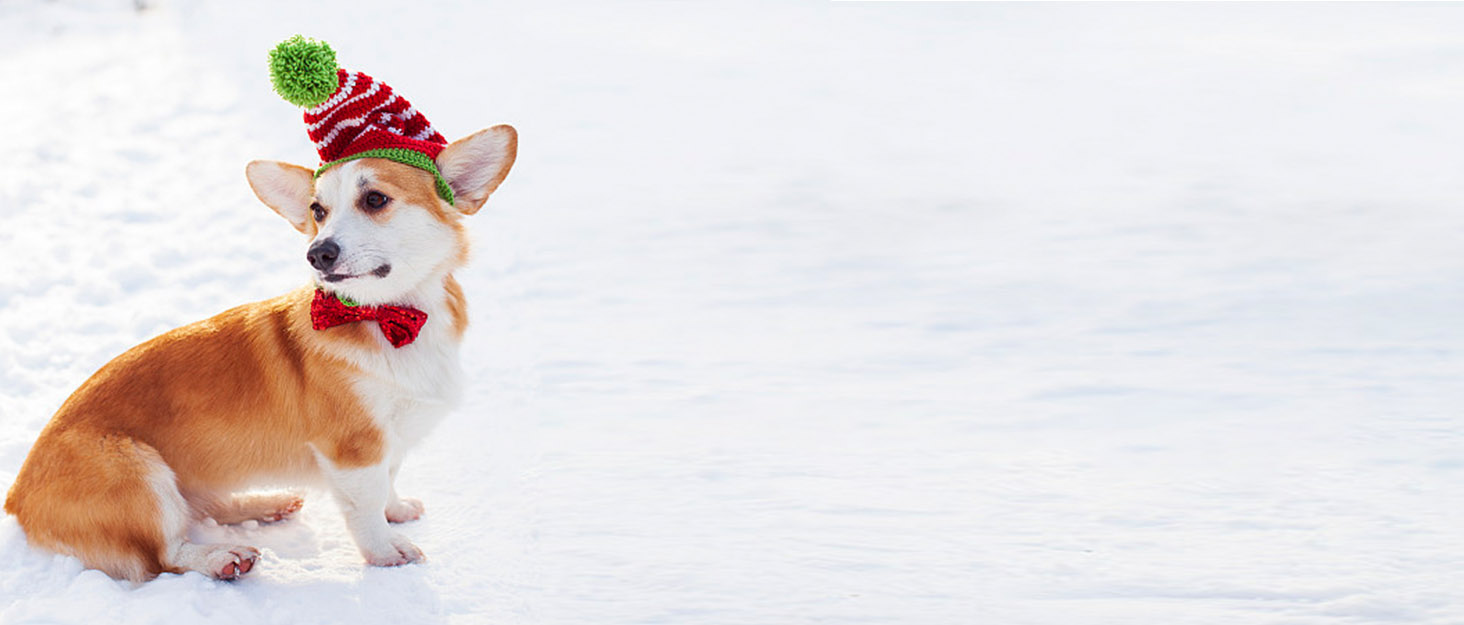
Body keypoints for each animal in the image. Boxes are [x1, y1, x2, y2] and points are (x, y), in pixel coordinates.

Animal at [1, 39, 515, 579]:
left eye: (375, 199)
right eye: (318, 211)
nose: (317, 254)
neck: (391, 317)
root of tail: (16, 496)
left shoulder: (387, 441)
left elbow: (389, 481)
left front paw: (397, 510)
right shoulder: (353, 448)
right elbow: (365, 505)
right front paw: (386, 552)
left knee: (205, 507)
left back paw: (264, 504)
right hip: (140, 473)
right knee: (167, 553)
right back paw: (222, 557)